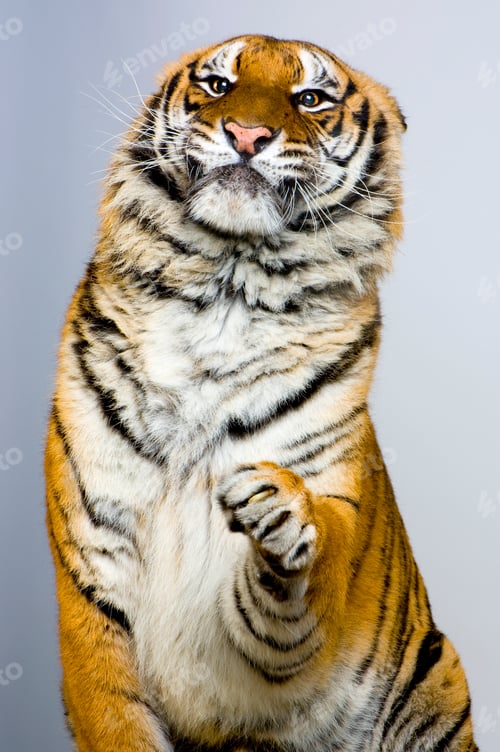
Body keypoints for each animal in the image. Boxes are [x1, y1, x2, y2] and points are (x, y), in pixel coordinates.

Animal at [44, 34, 478, 751]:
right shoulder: (94, 574)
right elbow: (116, 719)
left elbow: (303, 584)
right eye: (219, 85)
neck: (226, 287)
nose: (247, 134)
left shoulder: (292, 647)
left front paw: (281, 511)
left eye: (311, 98)